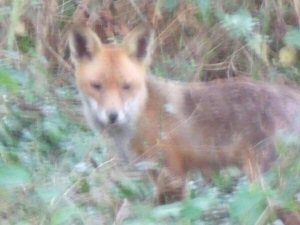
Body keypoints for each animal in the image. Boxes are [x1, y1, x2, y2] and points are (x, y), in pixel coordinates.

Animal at [69, 25, 300, 223]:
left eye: (126, 86)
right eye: (96, 86)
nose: (113, 116)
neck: (140, 114)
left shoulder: (172, 173)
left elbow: (169, 213)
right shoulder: (153, 174)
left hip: (267, 185)